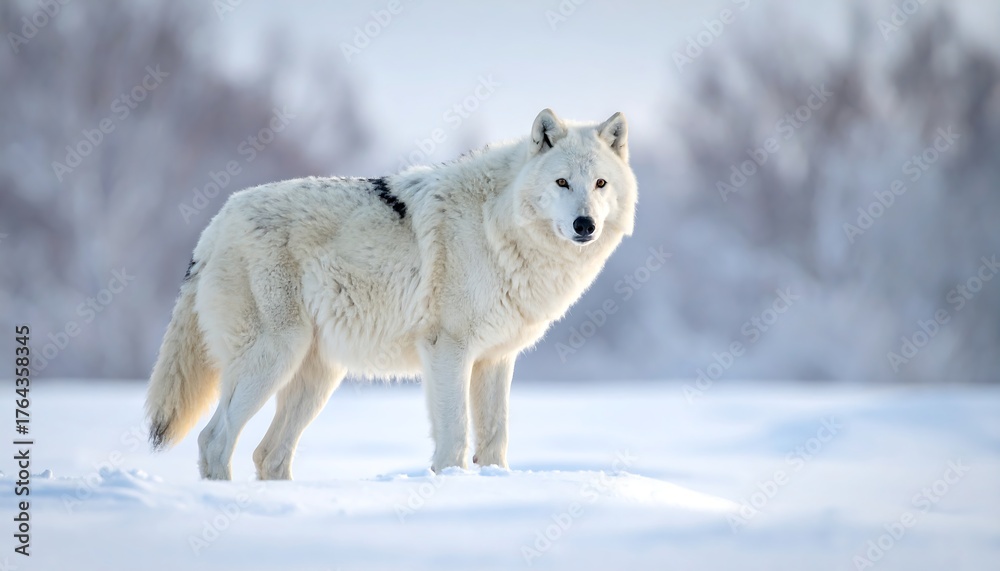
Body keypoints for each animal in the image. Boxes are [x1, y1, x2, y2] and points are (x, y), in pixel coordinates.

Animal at [145, 108, 638, 480]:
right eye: (561, 183)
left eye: (600, 184)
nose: (585, 225)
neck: (497, 224)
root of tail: (215, 224)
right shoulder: (448, 349)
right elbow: (455, 437)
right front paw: (451, 485)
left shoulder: (496, 359)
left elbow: (495, 441)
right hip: (273, 358)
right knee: (215, 440)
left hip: (315, 379)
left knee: (268, 455)